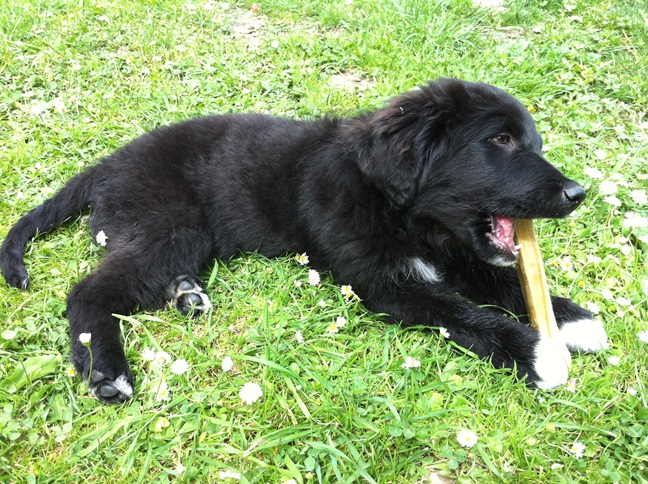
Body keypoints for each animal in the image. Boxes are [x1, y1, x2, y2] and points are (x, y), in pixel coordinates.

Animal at [0, 80, 608, 404]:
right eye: (500, 141)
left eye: (530, 141)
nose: (578, 193)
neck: (402, 212)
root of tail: (105, 166)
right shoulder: (388, 283)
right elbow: (465, 314)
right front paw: (539, 352)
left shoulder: (452, 253)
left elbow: (499, 278)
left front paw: (570, 319)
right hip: (169, 225)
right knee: (87, 291)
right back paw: (108, 370)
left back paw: (187, 294)